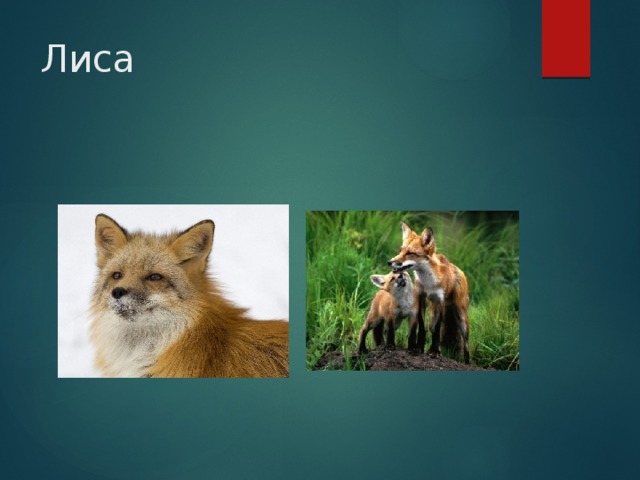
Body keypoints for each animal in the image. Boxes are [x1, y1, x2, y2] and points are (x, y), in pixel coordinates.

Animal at [388, 222, 470, 364]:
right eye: (401, 250)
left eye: (410, 253)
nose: (389, 262)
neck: (429, 284)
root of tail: (458, 269)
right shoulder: (421, 297)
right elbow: (422, 327)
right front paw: (418, 348)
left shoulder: (440, 300)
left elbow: (437, 329)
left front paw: (434, 352)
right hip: (433, 314)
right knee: (432, 329)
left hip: (462, 319)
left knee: (466, 345)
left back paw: (466, 362)